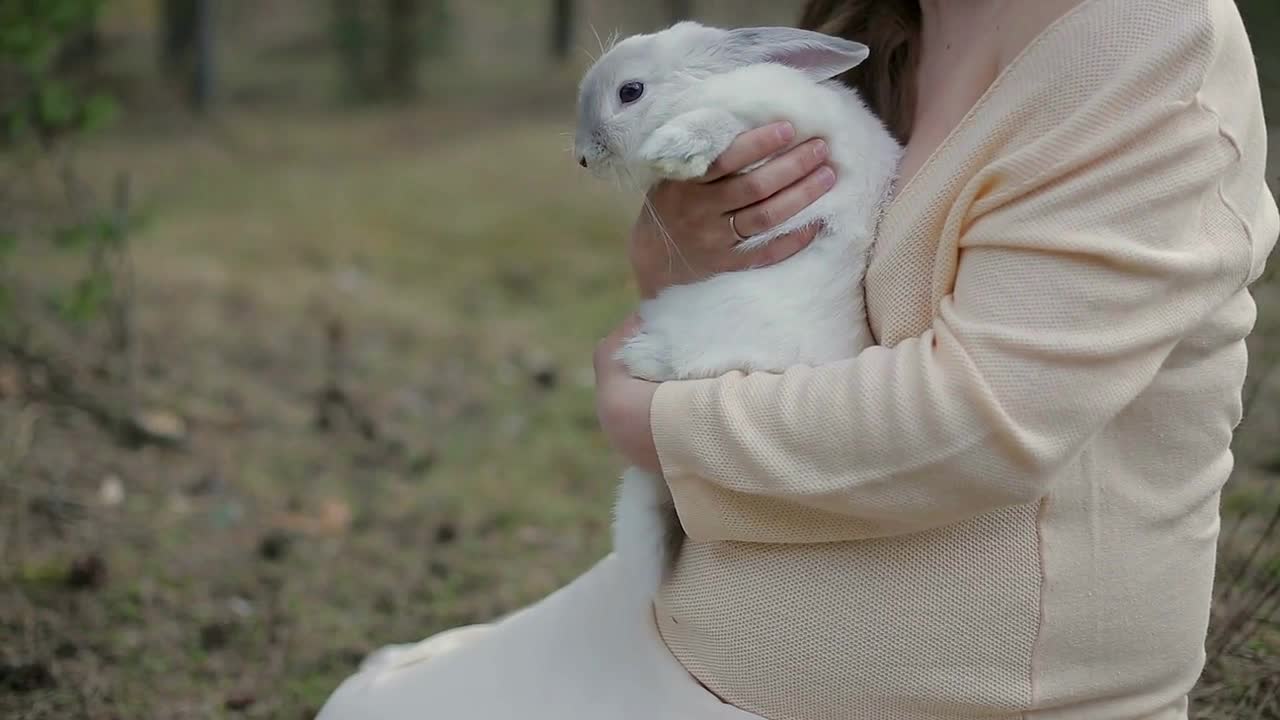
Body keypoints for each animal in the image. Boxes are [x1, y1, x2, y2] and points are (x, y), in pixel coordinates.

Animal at [576, 22, 896, 604]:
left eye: (630, 92)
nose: (582, 156)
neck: (699, 89)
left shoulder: (778, 120)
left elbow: (722, 123)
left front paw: (673, 149)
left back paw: (641, 355)